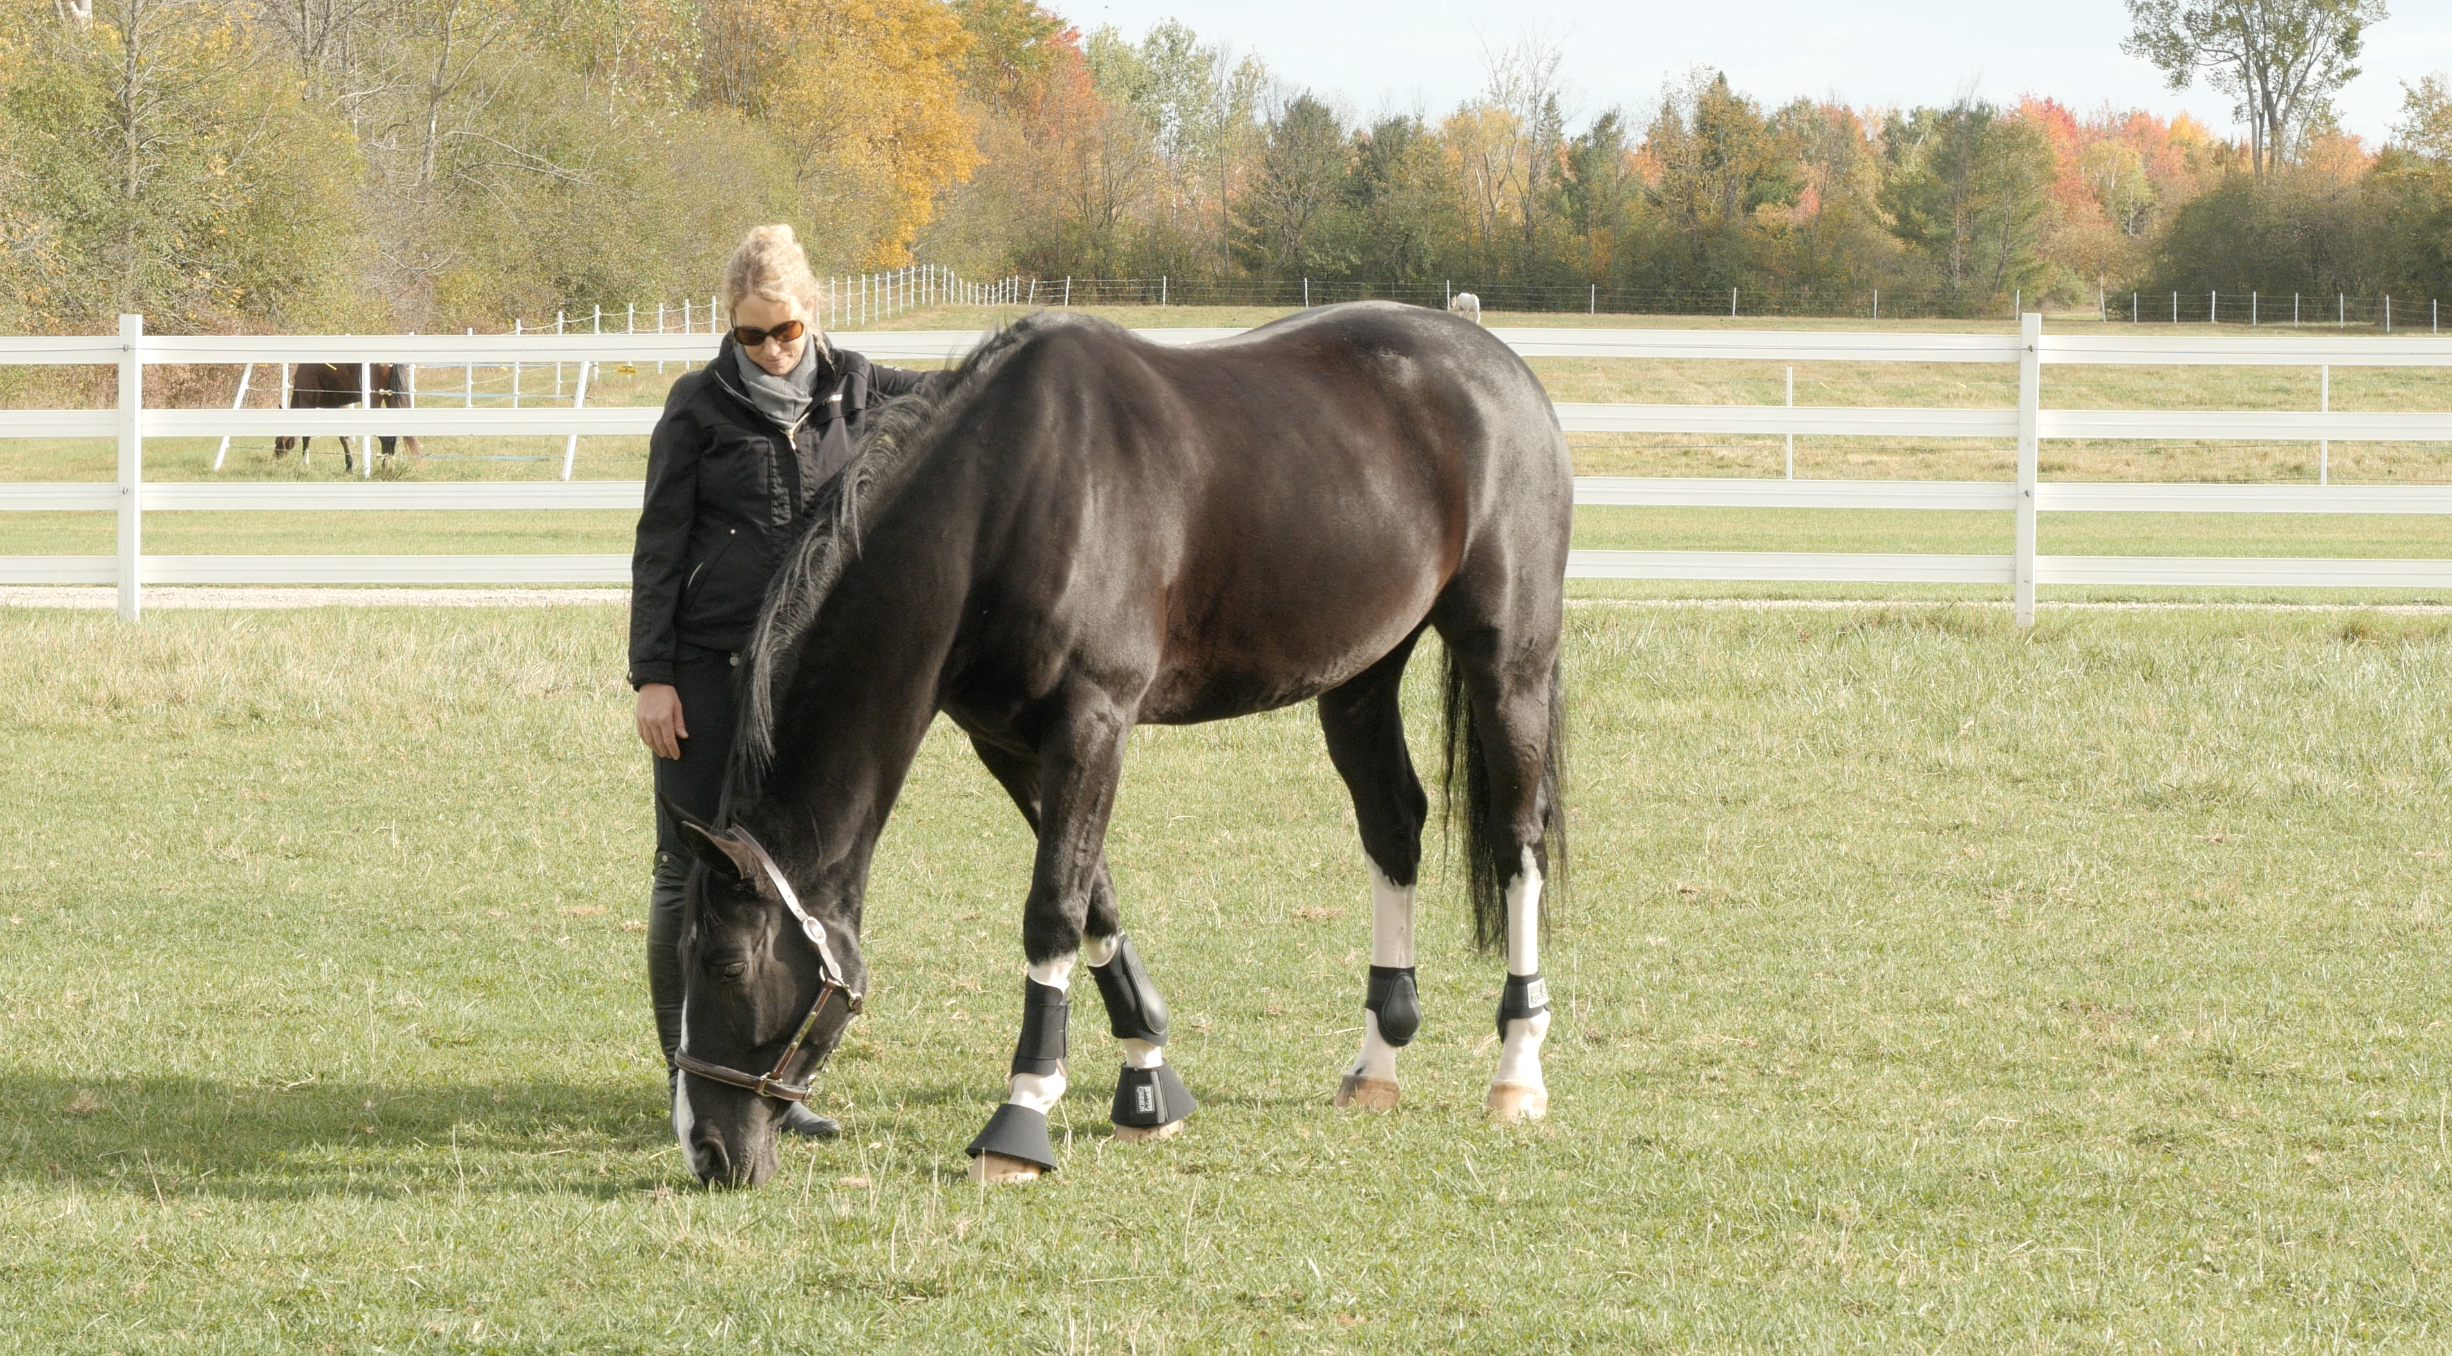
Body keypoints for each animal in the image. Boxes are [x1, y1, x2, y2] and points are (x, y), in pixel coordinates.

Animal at [280, 360, 426, 470]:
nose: (277, 455)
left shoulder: (308, 402)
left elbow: (306, 436)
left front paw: (304, 462)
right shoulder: (338, 406)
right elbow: (343, 438)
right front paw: (349, 466)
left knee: (386, 438)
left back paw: (385, 467)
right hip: (390, 400)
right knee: (392, 437)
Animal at [666, 304, 1569, 1186]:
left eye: (726, 965)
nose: (705, 1148)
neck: (1009, 500)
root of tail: (1504, 369)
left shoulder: (1092, 720)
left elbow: (1053, 909)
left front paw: (1023, 1113)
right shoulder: (1010, 743)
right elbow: (1092, 894)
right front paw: (1147, 1079)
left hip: (1508, 662)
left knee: (1517, 839)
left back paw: (1518, 1070)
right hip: (1359, 677)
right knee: (1392, 826)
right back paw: (1377, 1060)